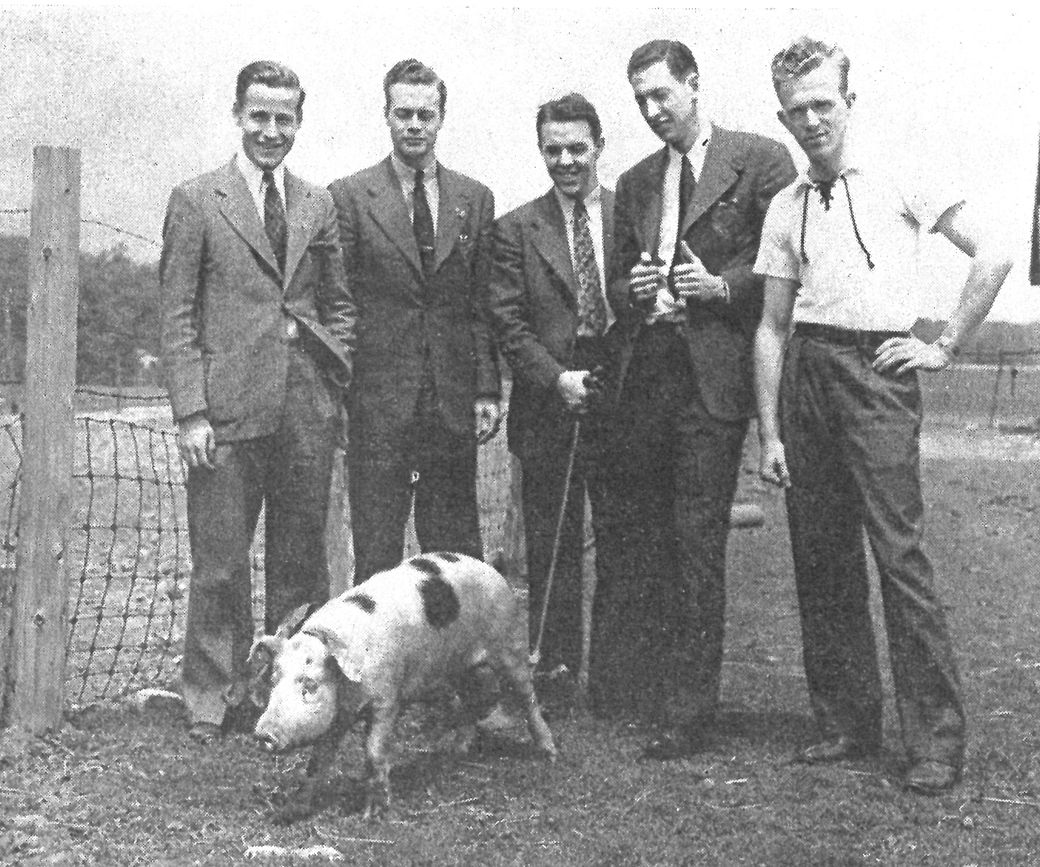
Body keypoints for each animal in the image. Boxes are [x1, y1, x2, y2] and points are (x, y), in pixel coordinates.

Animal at [247, 548, 557, 819]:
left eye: (309, 685)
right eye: (273, 681)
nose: (263, 733)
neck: (349, 693)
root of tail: (490, 568)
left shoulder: (387, 699)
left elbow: (373, 752)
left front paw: (374, 814)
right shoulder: (338, 717)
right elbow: (317, 762)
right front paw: (289, 812)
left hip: (509, 643)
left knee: (527, 697)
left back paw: (549, 752)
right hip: (457, 667)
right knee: (470, 702)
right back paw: (455, 751)